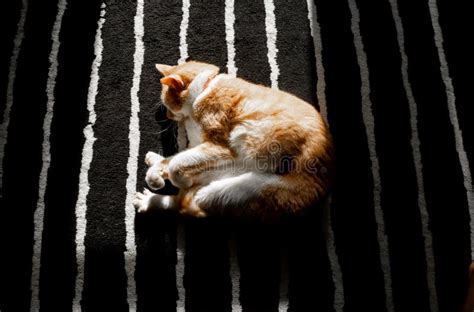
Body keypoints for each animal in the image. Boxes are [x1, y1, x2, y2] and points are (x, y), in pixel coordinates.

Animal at [131, 61, 336, 221]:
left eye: (167, 105)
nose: (166, 115)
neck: (204, 90)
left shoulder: (219, 146)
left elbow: (177, 163)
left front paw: (178, 179)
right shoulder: (199, 145)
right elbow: (175, 158)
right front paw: (158, 172)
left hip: (236, 191)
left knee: (183, 203)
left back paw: (153, 198)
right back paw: (152, 170)